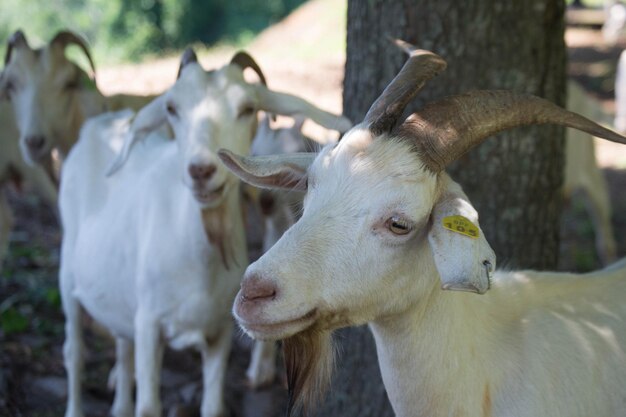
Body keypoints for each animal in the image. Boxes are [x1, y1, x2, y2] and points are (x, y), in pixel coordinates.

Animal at [59, 45, 352, 416]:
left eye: (248, 109)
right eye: (171, 108)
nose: (201, 170)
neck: (199, 265)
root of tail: (99, 125)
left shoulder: (219, 331)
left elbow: (212, 405)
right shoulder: (149, 324)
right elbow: (148, 406)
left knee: (121, 348)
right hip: (68, 275)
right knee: (74, 351)